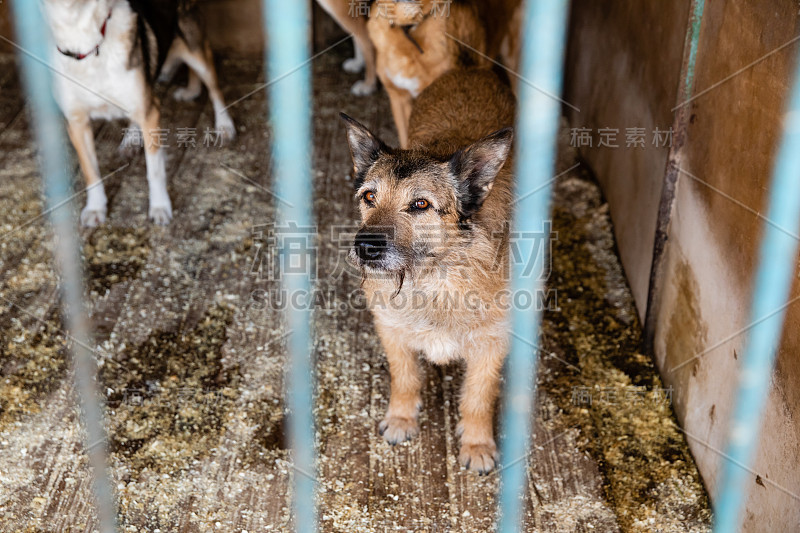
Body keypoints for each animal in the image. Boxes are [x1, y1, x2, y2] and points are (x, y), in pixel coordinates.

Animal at [41, 0, 234, 224]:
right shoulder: (77, 123)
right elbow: (90, 171)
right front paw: (96, 207)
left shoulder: (150, 112)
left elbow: (155, 170)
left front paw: (160, 206)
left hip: (195, 49)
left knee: (214, 89)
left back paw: (224, 125)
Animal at [340, 68, 516, 472]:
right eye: (369, 197)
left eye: (420, 204)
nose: (365, 247)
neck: (431, 279)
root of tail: (471, 69)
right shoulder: (391, 332)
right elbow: (405, 379)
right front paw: (402, 418)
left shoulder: (491, 346)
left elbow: (478, 398)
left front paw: (477, 443)